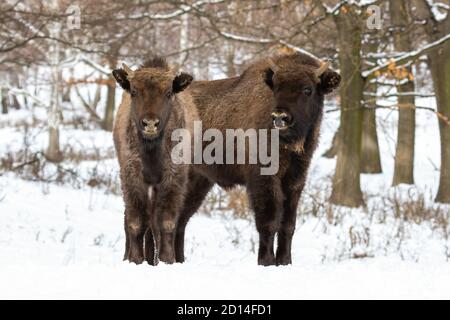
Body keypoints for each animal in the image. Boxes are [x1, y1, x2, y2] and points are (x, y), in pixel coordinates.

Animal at [111, 57, 196, 264]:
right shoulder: (132, 179)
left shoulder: (173, 180)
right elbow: (135, 223)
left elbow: (166, 223)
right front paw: (135, 259)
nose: (150, 124)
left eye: (168, 92)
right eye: (134, 91)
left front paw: (167, 259)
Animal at [176, 52, 342, 266]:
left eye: (308, 89)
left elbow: (288, 225)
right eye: (277, 87)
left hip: (199, 181)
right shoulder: (263, 180)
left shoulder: (295, 181)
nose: (280, 116)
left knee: (179, 220)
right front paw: (266, 261)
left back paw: (177, 260)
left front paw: (285, 261)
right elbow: (268, 222)